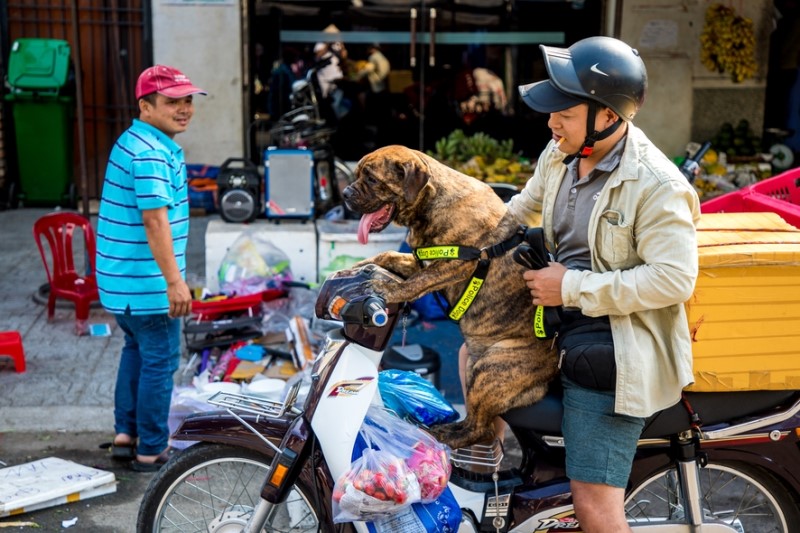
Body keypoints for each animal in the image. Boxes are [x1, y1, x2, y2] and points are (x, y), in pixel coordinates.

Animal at [342, 143, 556, 446]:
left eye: (371, 179)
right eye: (358, 174)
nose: (346, 193)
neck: (431, 203)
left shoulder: (456, 264)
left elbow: (416, 282)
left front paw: (389, 290)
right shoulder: (418, 260)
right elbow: (388, 255)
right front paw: (357, 266)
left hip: (491, 370)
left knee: (480, 429)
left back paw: (444, 438)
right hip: (474, 370)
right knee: (477, 421)